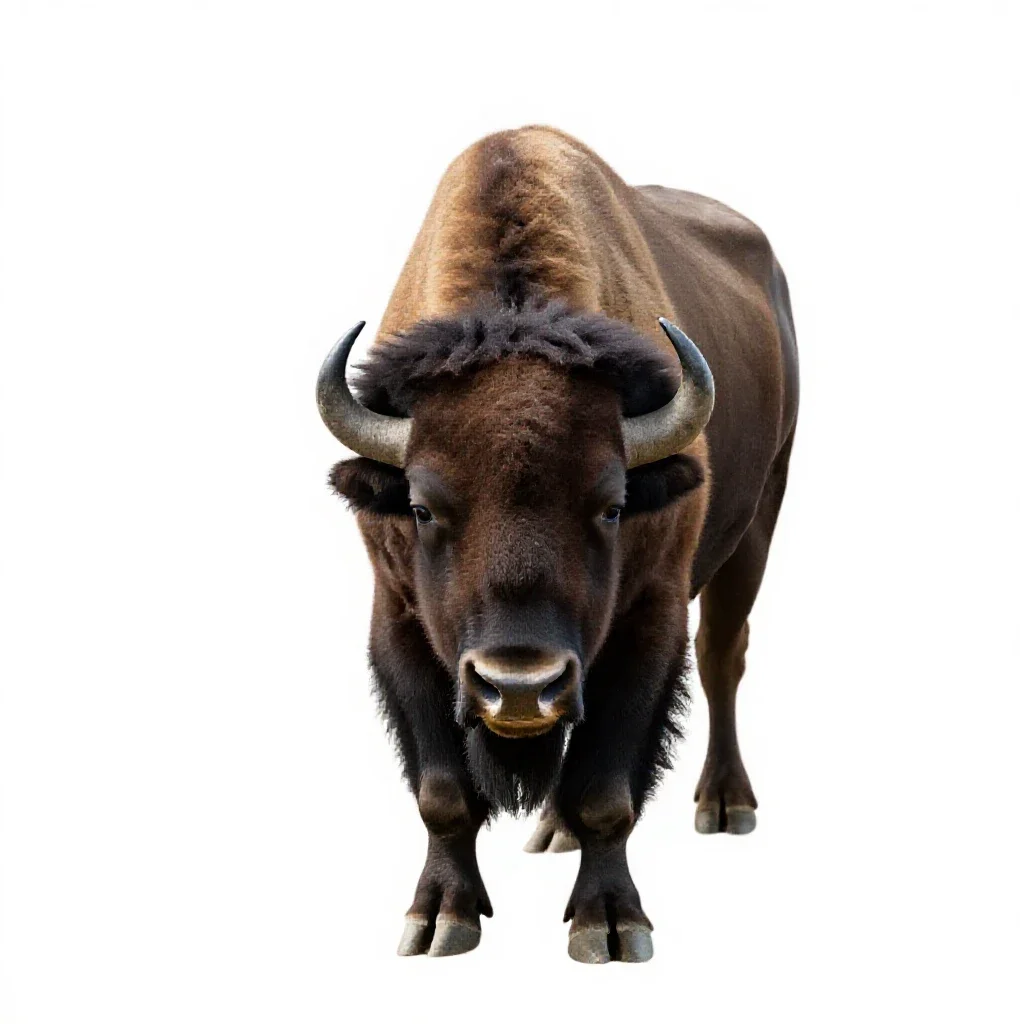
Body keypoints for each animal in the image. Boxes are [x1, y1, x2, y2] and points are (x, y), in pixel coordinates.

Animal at [317, 126, 798, 962]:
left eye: (612, 506)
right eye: (421, 507)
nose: (518, 686)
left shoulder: (648, 619)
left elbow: (608, 787)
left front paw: (611, 926)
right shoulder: (399, 618)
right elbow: (442, 792)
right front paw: (439, 920)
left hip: (762, 515)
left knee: (723, 658)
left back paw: (725, 805)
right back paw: (551, 829)